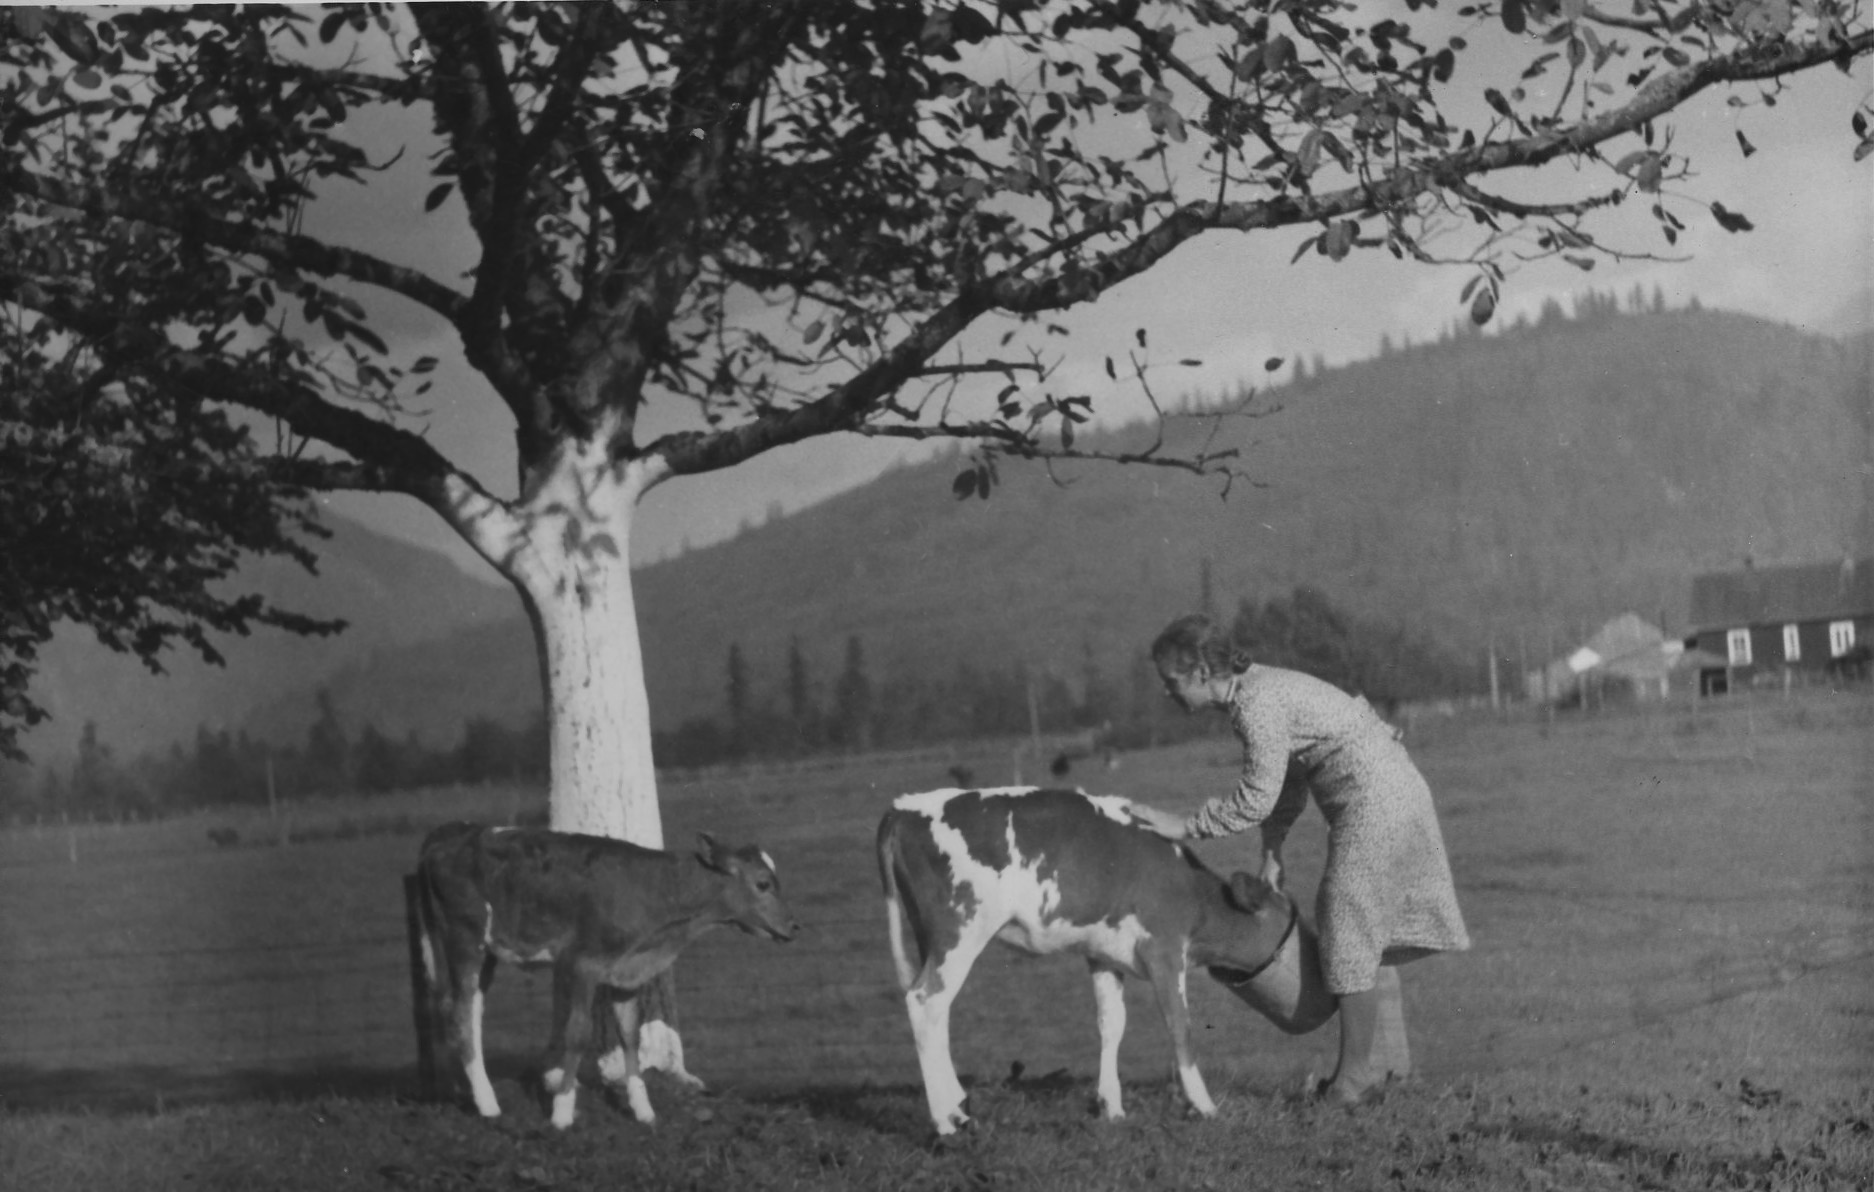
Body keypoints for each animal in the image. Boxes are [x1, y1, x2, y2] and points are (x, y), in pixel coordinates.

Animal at [417, 824, 798, 1132]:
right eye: (763, 883)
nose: (794, 926)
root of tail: (451, 833)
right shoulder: (582, 966)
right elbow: (576, 1036)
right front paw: (562, 1113)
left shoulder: (627, 975)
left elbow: (631, 1038)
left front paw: (644, 1111)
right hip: (465, 940)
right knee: (461, 1012)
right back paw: (487, 1104)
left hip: (489, 952)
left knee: (466, 1011)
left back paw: (462, 1090)